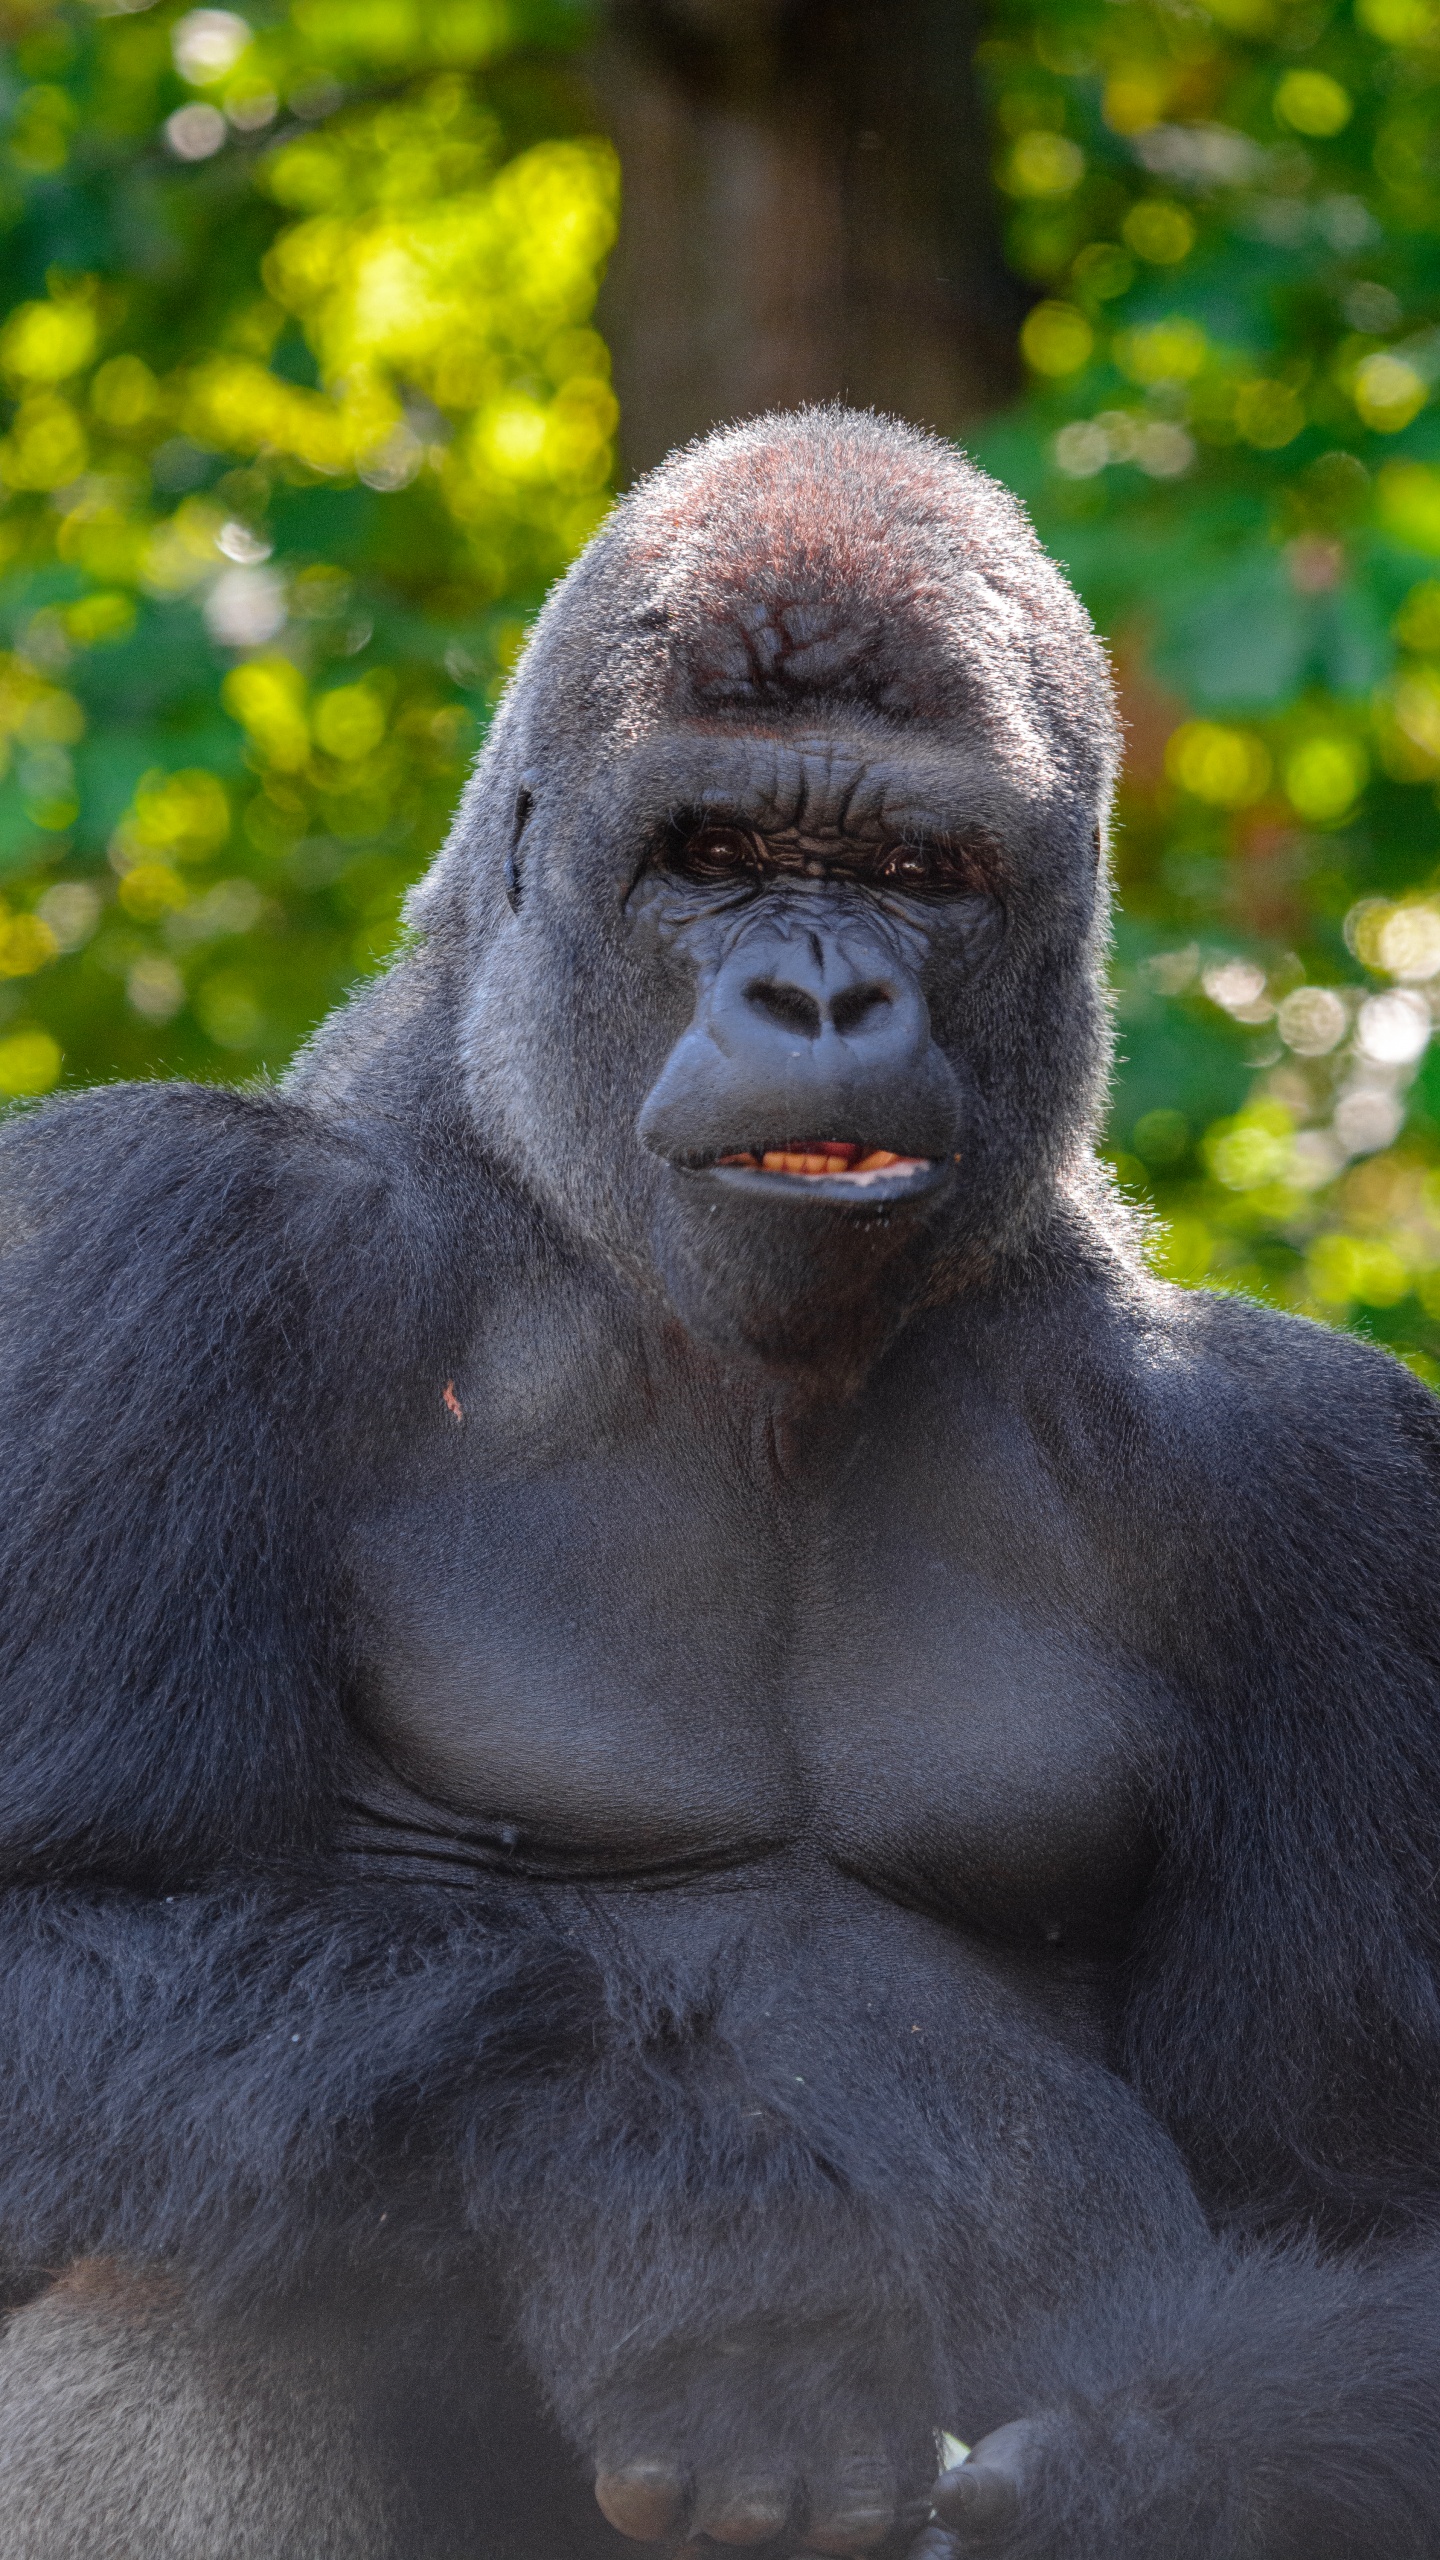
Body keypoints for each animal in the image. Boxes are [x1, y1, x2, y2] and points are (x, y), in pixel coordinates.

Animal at [2, 405, 1440, 2560]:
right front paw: (666, 2213)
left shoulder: (1325, 1484)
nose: (822, 1000)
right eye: (720, 854)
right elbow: (57, 1944)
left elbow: (1360, 2207)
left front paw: (1159, 2473)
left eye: (918, 871)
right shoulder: (146, 1245)